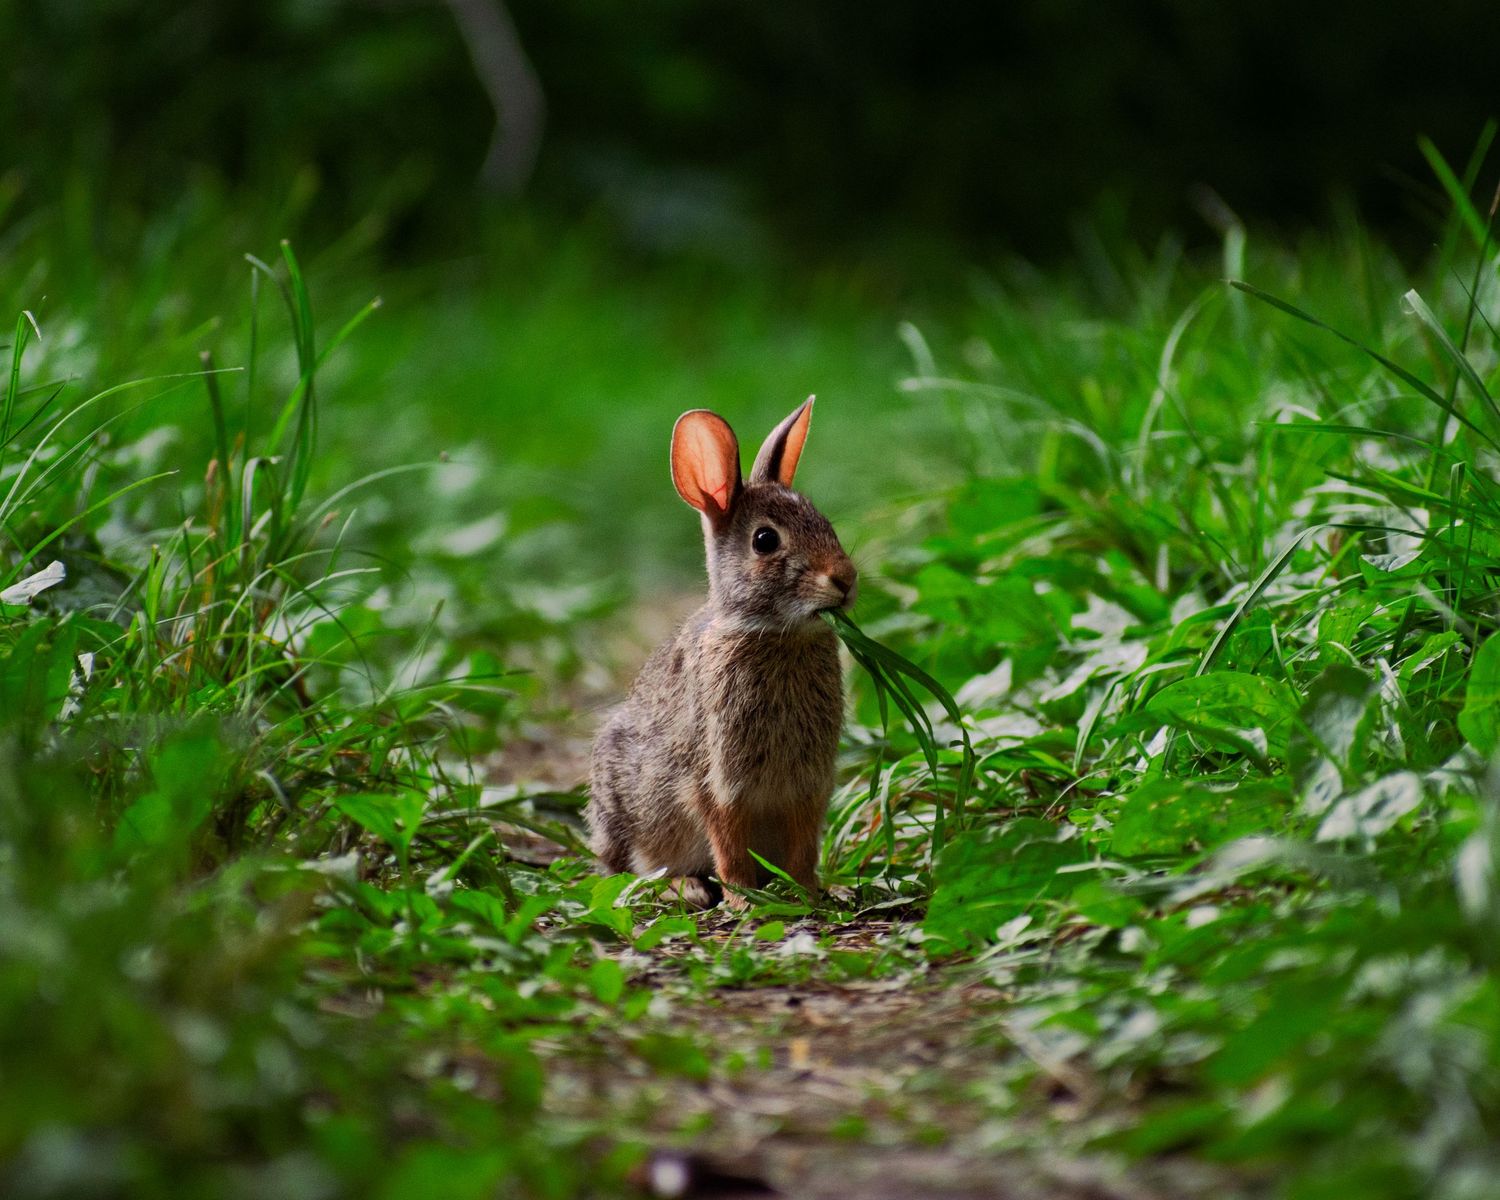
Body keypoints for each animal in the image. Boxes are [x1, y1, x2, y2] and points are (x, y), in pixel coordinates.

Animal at [588, 397, 857, 909]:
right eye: (765, 540)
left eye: (827, 524)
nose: (846, 580)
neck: (773, 633)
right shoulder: (716, 779)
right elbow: (727, 838)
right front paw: (741, 899)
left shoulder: (808, 784)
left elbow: (804, 845)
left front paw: (812, 891)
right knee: (631, 874)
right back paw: (687, 887)